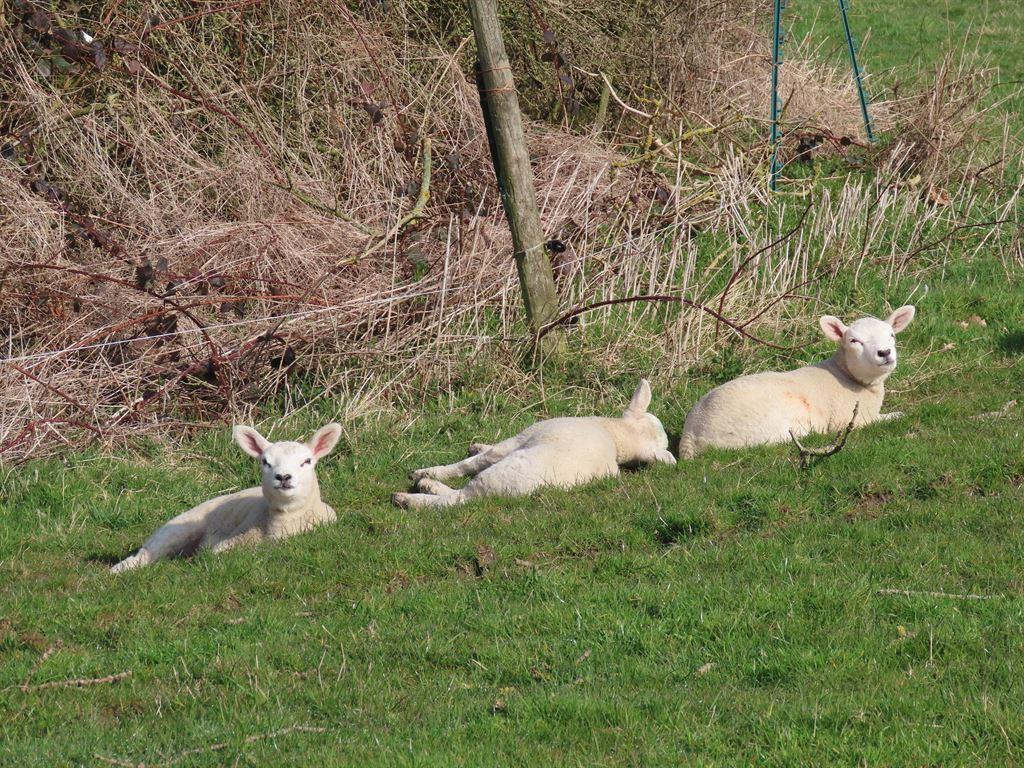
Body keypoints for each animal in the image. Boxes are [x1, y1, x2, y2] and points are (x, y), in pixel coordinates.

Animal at [110, 423, 342, 573]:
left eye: (307, 461)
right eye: (265, 462)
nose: (283, 476)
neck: (286, 522)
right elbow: (218, 552)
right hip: (177, 528)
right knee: (147, 552)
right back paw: (118, 570)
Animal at [392, 379, 676, 510]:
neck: (616, 437)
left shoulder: (522, 438)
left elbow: (471, 463)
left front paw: (424, 472)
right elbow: (479, 454)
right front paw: (477, 445)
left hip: (500, 473)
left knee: (458, 498)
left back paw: (414, 493)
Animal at [679, 306, 916, 458]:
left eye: (892, 335)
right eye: (854, 341)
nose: (884, 352)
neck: (847, 376)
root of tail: (689, 436)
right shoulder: (850, 420)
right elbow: (888, 418)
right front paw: (899, 415)